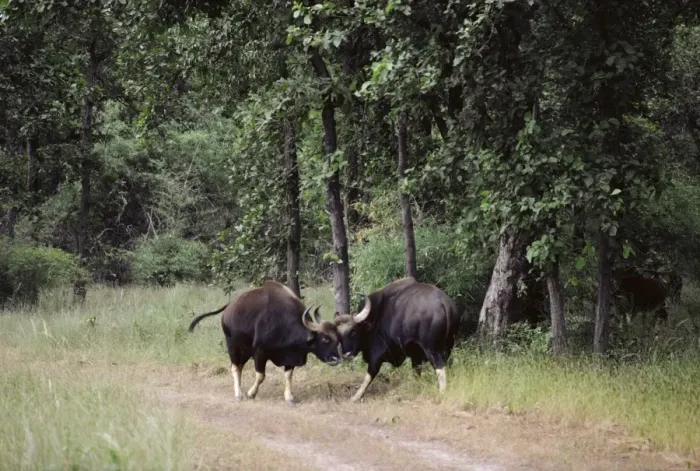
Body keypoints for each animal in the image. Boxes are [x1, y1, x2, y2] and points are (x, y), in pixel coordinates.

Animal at [187, 281, 342, 405]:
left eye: (337, 339)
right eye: (325, 339)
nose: (335, 359)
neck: (284, 322)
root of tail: (229, 307)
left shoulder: (290, 356)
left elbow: (288, 376)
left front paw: (289, 397)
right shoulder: (260, 352)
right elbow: (261, 375)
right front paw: (251, 394)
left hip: (245, 350)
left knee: (240, 367)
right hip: (233, 346)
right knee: (235, 367)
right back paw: (238, 394)